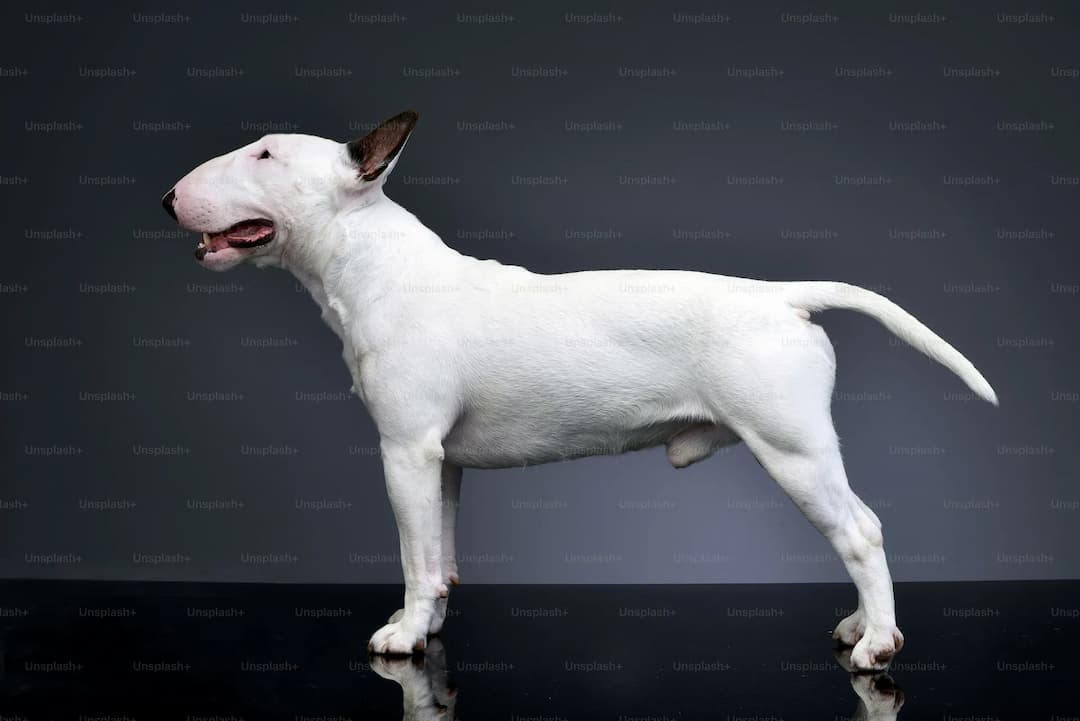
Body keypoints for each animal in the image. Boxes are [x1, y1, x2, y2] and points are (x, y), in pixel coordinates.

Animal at [164, 111, 997, 669]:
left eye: (265, 152)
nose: (170, 196)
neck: (369, 263)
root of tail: (782, 296)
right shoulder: (440, 458)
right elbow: (439, 550)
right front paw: (426, 622)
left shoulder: (404, 448)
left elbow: (412, 553)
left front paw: (402, 634)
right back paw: (861, 625)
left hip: (791, 447)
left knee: (859, 530)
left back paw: (879, 642)